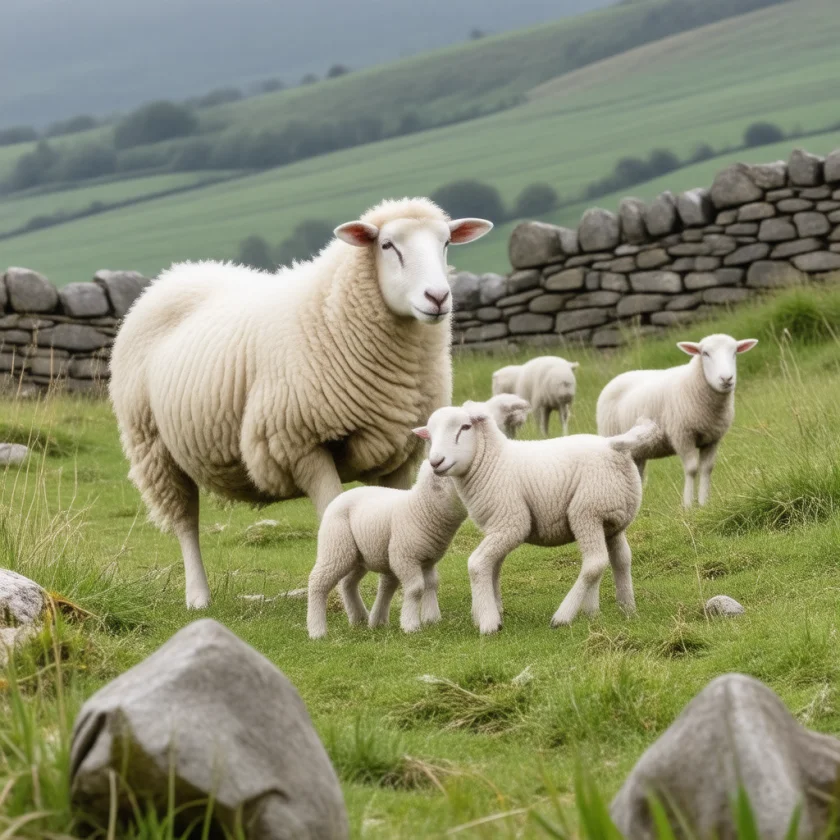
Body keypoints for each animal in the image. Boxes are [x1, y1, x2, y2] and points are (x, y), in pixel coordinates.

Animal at [109, 198, 493, 608]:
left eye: (446, 243)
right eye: (388, 245)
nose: (437, 298)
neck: (331, 314)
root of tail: (174, 275)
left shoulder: (399, 452)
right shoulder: (302, 444)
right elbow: (331, 514)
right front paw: (347, 599)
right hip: (153, 446)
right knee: (185, 522)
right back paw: (198, 596)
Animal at [307, 395, 529, 638]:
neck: (422, 507)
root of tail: (341, 497)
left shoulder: (428, 557)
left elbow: (432, 584)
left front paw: (432, 618)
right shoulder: (405, 556)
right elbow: (415, 589)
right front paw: (411, 625)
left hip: (358, 554)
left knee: (348, 582)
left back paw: (359, 618)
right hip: (335, 546)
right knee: (318, 581)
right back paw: (317, 630)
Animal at [414, 403, 660, 634]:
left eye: (465, 427)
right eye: (430, 435)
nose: (436, 462)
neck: (491, 462)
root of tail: (614, 445)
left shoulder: (511, 523)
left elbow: (477, 563)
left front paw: (488, 622)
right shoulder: (497, 527)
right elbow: (494, 568)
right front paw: (495, 609)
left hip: (588, 511)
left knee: (595, 562)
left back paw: (563, 616)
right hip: (613, 520)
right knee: (621, 559)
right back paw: (623, 609)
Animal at [596, 334, 758, 508]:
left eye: (734, 352)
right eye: (705, 353)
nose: (726, 378)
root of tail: (617, 377)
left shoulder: (712, 439)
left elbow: (706, 468)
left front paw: (703, 503)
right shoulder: (682, 436)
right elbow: (692, 469)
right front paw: (688, 505)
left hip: (637, 451)